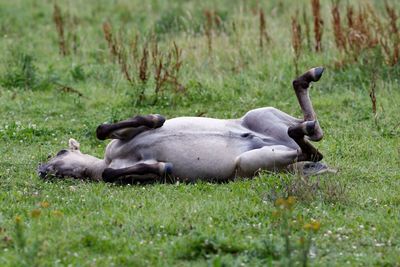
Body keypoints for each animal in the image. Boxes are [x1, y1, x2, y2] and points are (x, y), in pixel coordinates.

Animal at [38, 67, 332, 184]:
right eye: (54, 174)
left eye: (61, 153)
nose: (42, 170)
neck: (108, 160)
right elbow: (115, 173)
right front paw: (164, 166)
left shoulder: (122, 136)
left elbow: (105, 129)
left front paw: (156, 119)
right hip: (250, 163)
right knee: (311, 144)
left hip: (258, 115)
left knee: (312, 135)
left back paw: (308, 78)